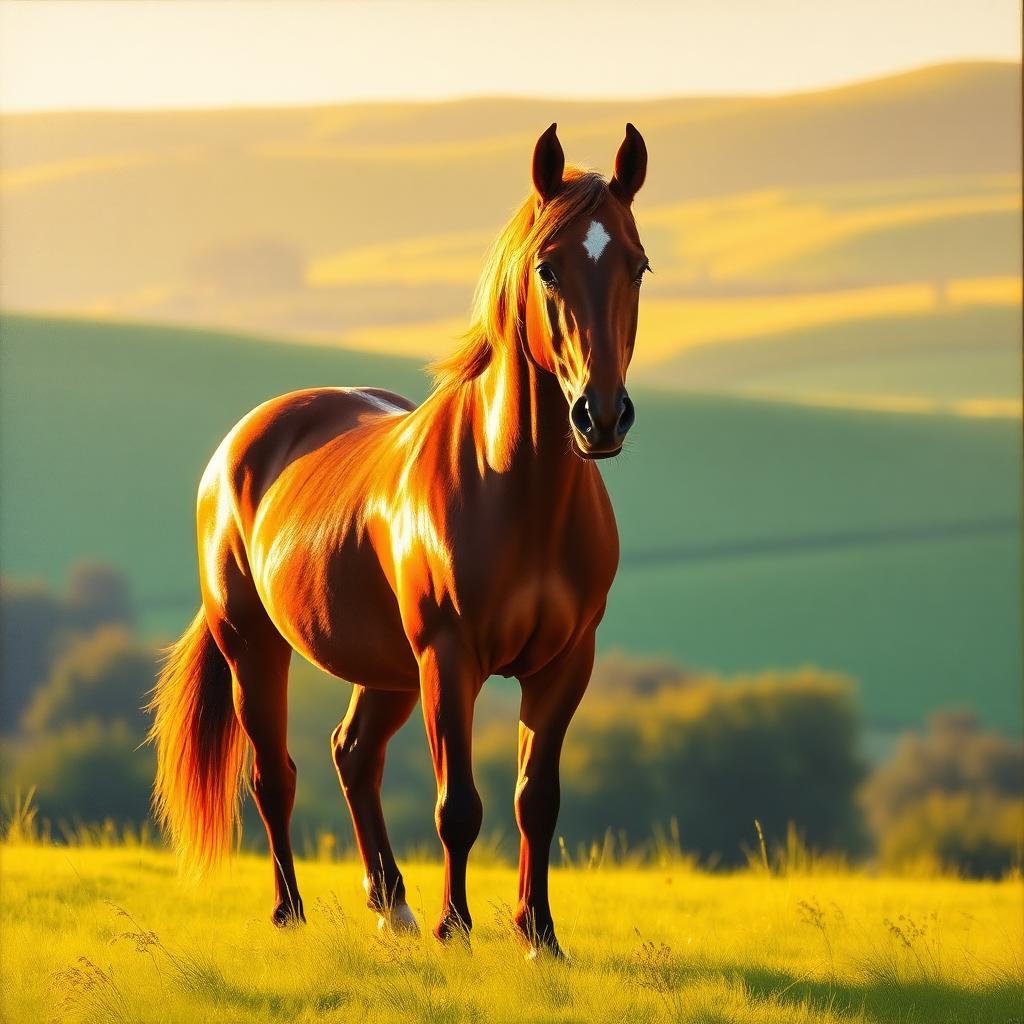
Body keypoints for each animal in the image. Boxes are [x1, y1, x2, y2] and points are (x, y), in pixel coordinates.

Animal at [148, 122, 649, 956]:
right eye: (548, 267)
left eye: (637, 265)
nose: (600, 416)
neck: (520, 491)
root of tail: (241, 446)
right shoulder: (450, 658)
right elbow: (459, 805)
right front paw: (457, 929)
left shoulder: (564, 664)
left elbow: (535, 799)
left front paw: (538, 935)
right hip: (255, 646)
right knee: (274, 776)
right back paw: (293, 912)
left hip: (386, 669)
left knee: (353, 754)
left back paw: (393, 905)